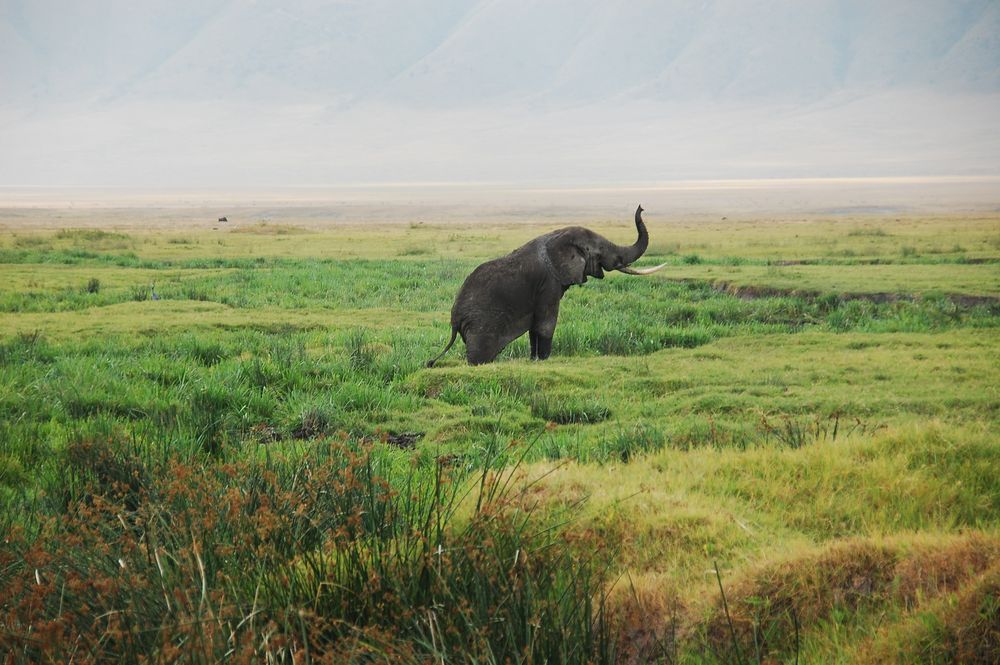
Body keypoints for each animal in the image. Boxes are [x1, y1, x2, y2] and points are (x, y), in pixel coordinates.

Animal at [426, 205, 668, 366]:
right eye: (598, 250)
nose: (642, 207)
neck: (557, 237)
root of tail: (454, 320)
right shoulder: (549, 283)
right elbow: (546, 323)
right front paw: (543, 360)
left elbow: (535, 327)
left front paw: (533, 359)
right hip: (480, 325)